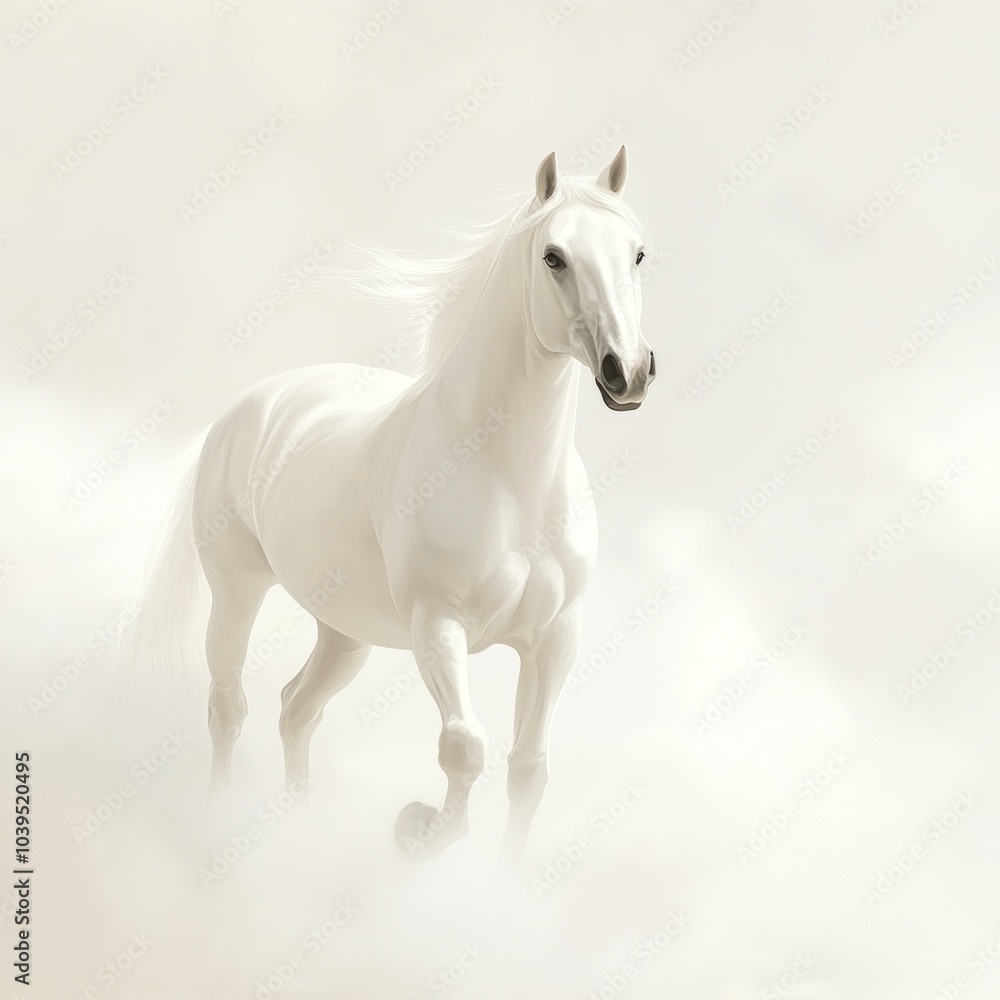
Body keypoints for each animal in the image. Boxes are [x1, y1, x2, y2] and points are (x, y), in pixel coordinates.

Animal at [131, 146, 655, 860]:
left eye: (638, 253)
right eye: (554, 256)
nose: (627, 371)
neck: (509, 480)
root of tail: (248, 407)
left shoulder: (554, 637)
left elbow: (529, 769)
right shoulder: (437, 624)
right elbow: (464, 748)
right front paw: (421, 830)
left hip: (345, 632)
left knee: (297, 709)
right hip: (237, 590)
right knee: (228, 706)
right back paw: (217, 825)